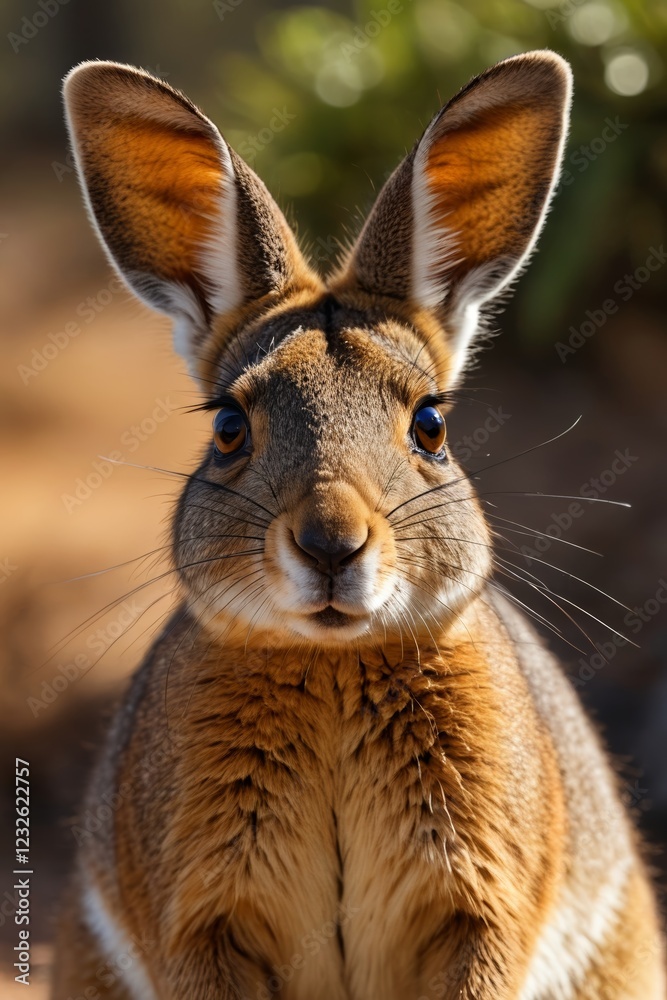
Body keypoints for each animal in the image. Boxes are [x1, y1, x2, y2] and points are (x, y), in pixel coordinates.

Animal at [51, 51, 665, 1000]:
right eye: (228, 427)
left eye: (430, 426)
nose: (331, 544)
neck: (334, 664)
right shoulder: (204, 920)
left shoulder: (478, 910)